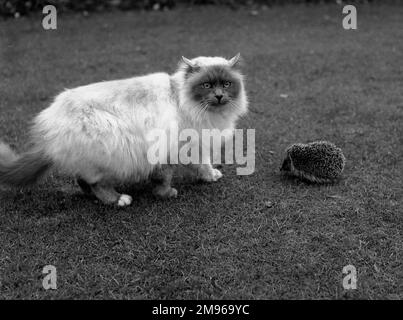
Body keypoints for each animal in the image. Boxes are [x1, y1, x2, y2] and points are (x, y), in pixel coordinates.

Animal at [0, 54, 248, 208]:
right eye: (207, 85)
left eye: (226, 84)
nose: (219, 96)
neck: (182, 99)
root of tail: (50, 120)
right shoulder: (175, 149)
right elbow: (168, 177)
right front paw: (167, 194)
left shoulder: (193, 147)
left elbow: (202, 165)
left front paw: (210, 176)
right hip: (110, 150)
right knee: (95, 183)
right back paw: (119, 200)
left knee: (83, 181)